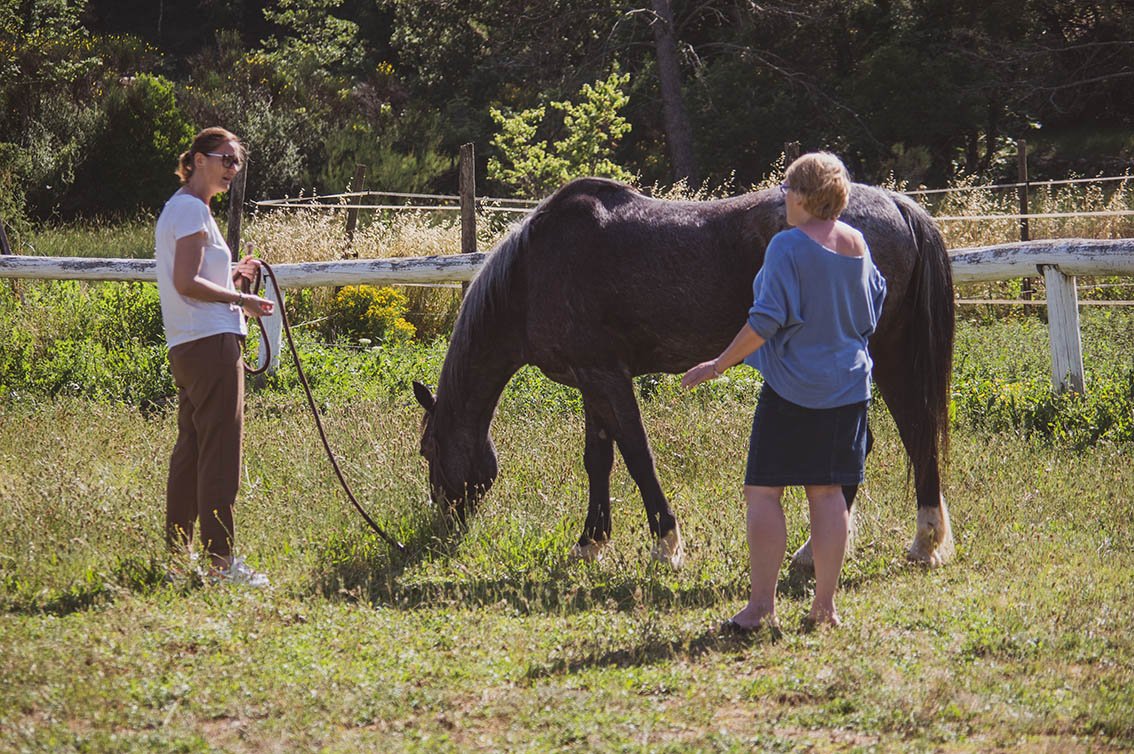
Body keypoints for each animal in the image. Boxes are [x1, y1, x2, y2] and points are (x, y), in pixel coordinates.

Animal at [413, 176, 955, 569]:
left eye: (428, 450)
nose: (442, 525)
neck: (532, 273)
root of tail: (895, 204)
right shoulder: (590, 379)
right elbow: (598, 460)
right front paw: (591, 543)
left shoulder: (606, 376)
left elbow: (636, 454)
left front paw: (665, 544)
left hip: (881, 351)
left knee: (912, 433)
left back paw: (913, 542)